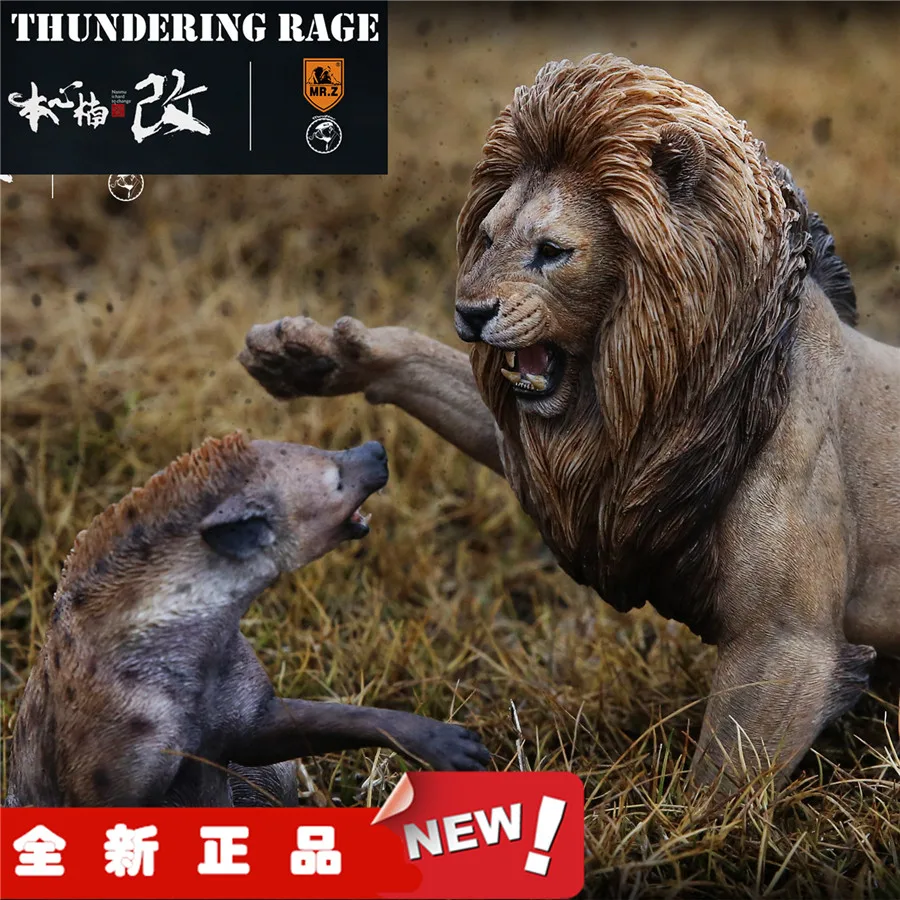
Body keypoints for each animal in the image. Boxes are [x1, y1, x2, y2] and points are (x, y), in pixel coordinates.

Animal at [240, 54, 900, 792]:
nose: (469, 313)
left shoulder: (787, 646)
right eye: (489, 237)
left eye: (553, 251)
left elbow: (715, 791)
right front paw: (313, 356)